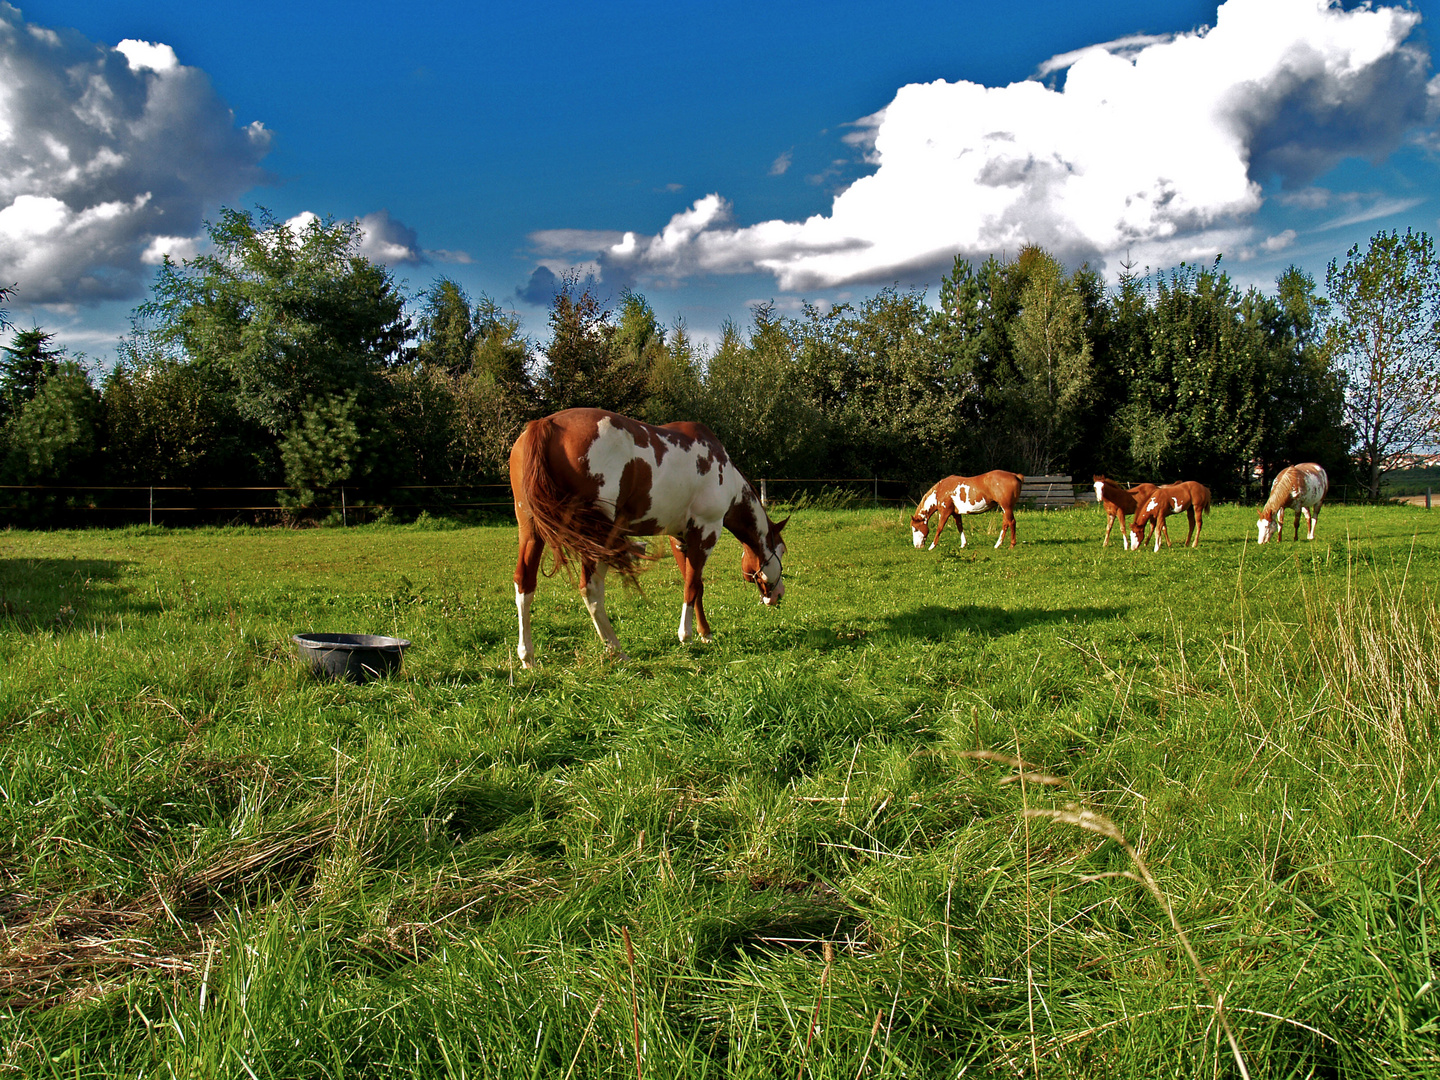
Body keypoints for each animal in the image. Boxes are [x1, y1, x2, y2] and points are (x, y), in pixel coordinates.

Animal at [509, 408, 789, 668]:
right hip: (596, 538)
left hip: (531, 531)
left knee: (525, 584)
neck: (726, 475)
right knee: (591, 589)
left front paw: (704, 633)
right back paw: (616, 650)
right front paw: (686, 635)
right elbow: (692, 585)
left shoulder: (680, 539)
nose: (778, 596)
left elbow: (695, 585)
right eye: (782, 551)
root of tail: (545, 424)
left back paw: (527, 656)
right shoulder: (706, 533)